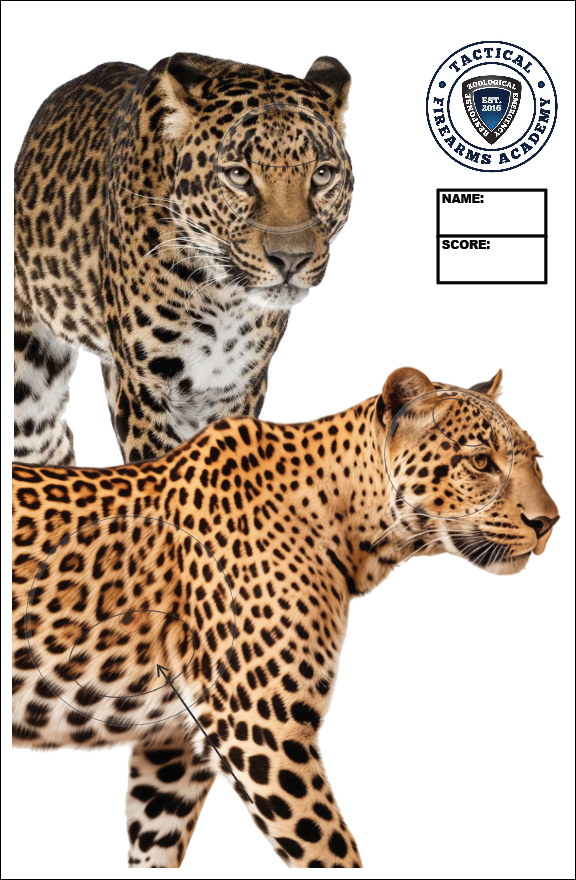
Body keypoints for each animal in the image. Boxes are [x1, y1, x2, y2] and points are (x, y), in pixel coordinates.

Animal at [12, 366, 559, 869]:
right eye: (481, 461)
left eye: (535, 460)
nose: (549, 522)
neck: (354, 529)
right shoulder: (260, 727)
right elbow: (330, 852)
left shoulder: (172, 748)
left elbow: (154, 846)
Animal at [14, 52, 353, 466]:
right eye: (238, 175)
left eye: (322, 175)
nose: (291, 260)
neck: (223, 297)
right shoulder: (148, 390)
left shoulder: (238, 387)